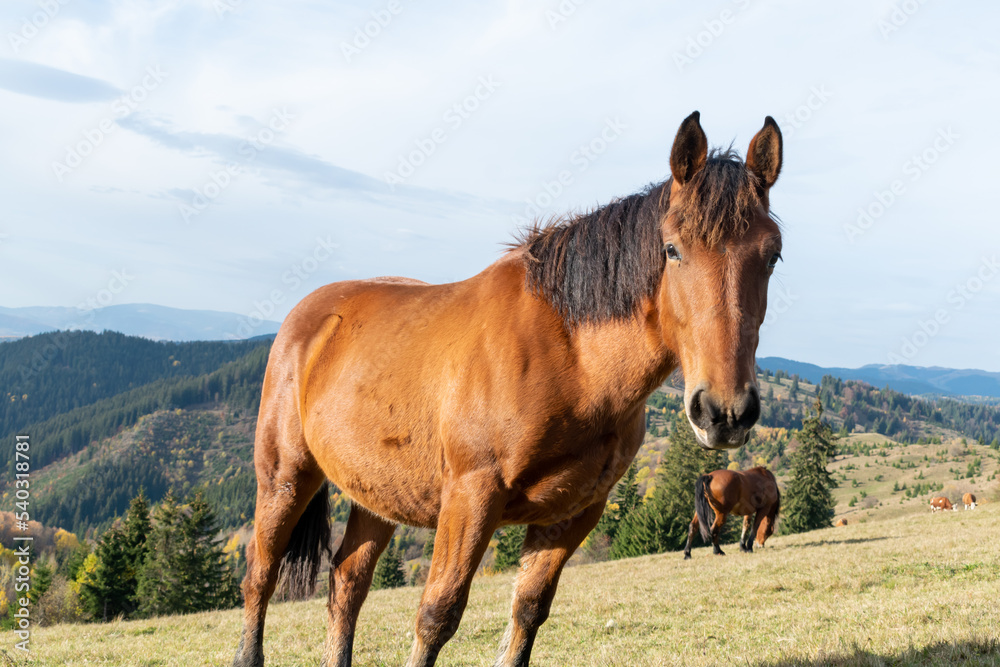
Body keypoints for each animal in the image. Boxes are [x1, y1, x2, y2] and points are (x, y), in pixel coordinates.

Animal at [231, 111, 785, 667]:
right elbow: (437, 615)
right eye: (672, 249)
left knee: (347, 581)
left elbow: (528, 611)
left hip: (376, 494)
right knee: (260, 576)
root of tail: (309, 315)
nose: (725, 412)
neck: (571, 358)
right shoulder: (471, 497)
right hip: (284, 479)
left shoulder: (573, 511)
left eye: (773, 256)